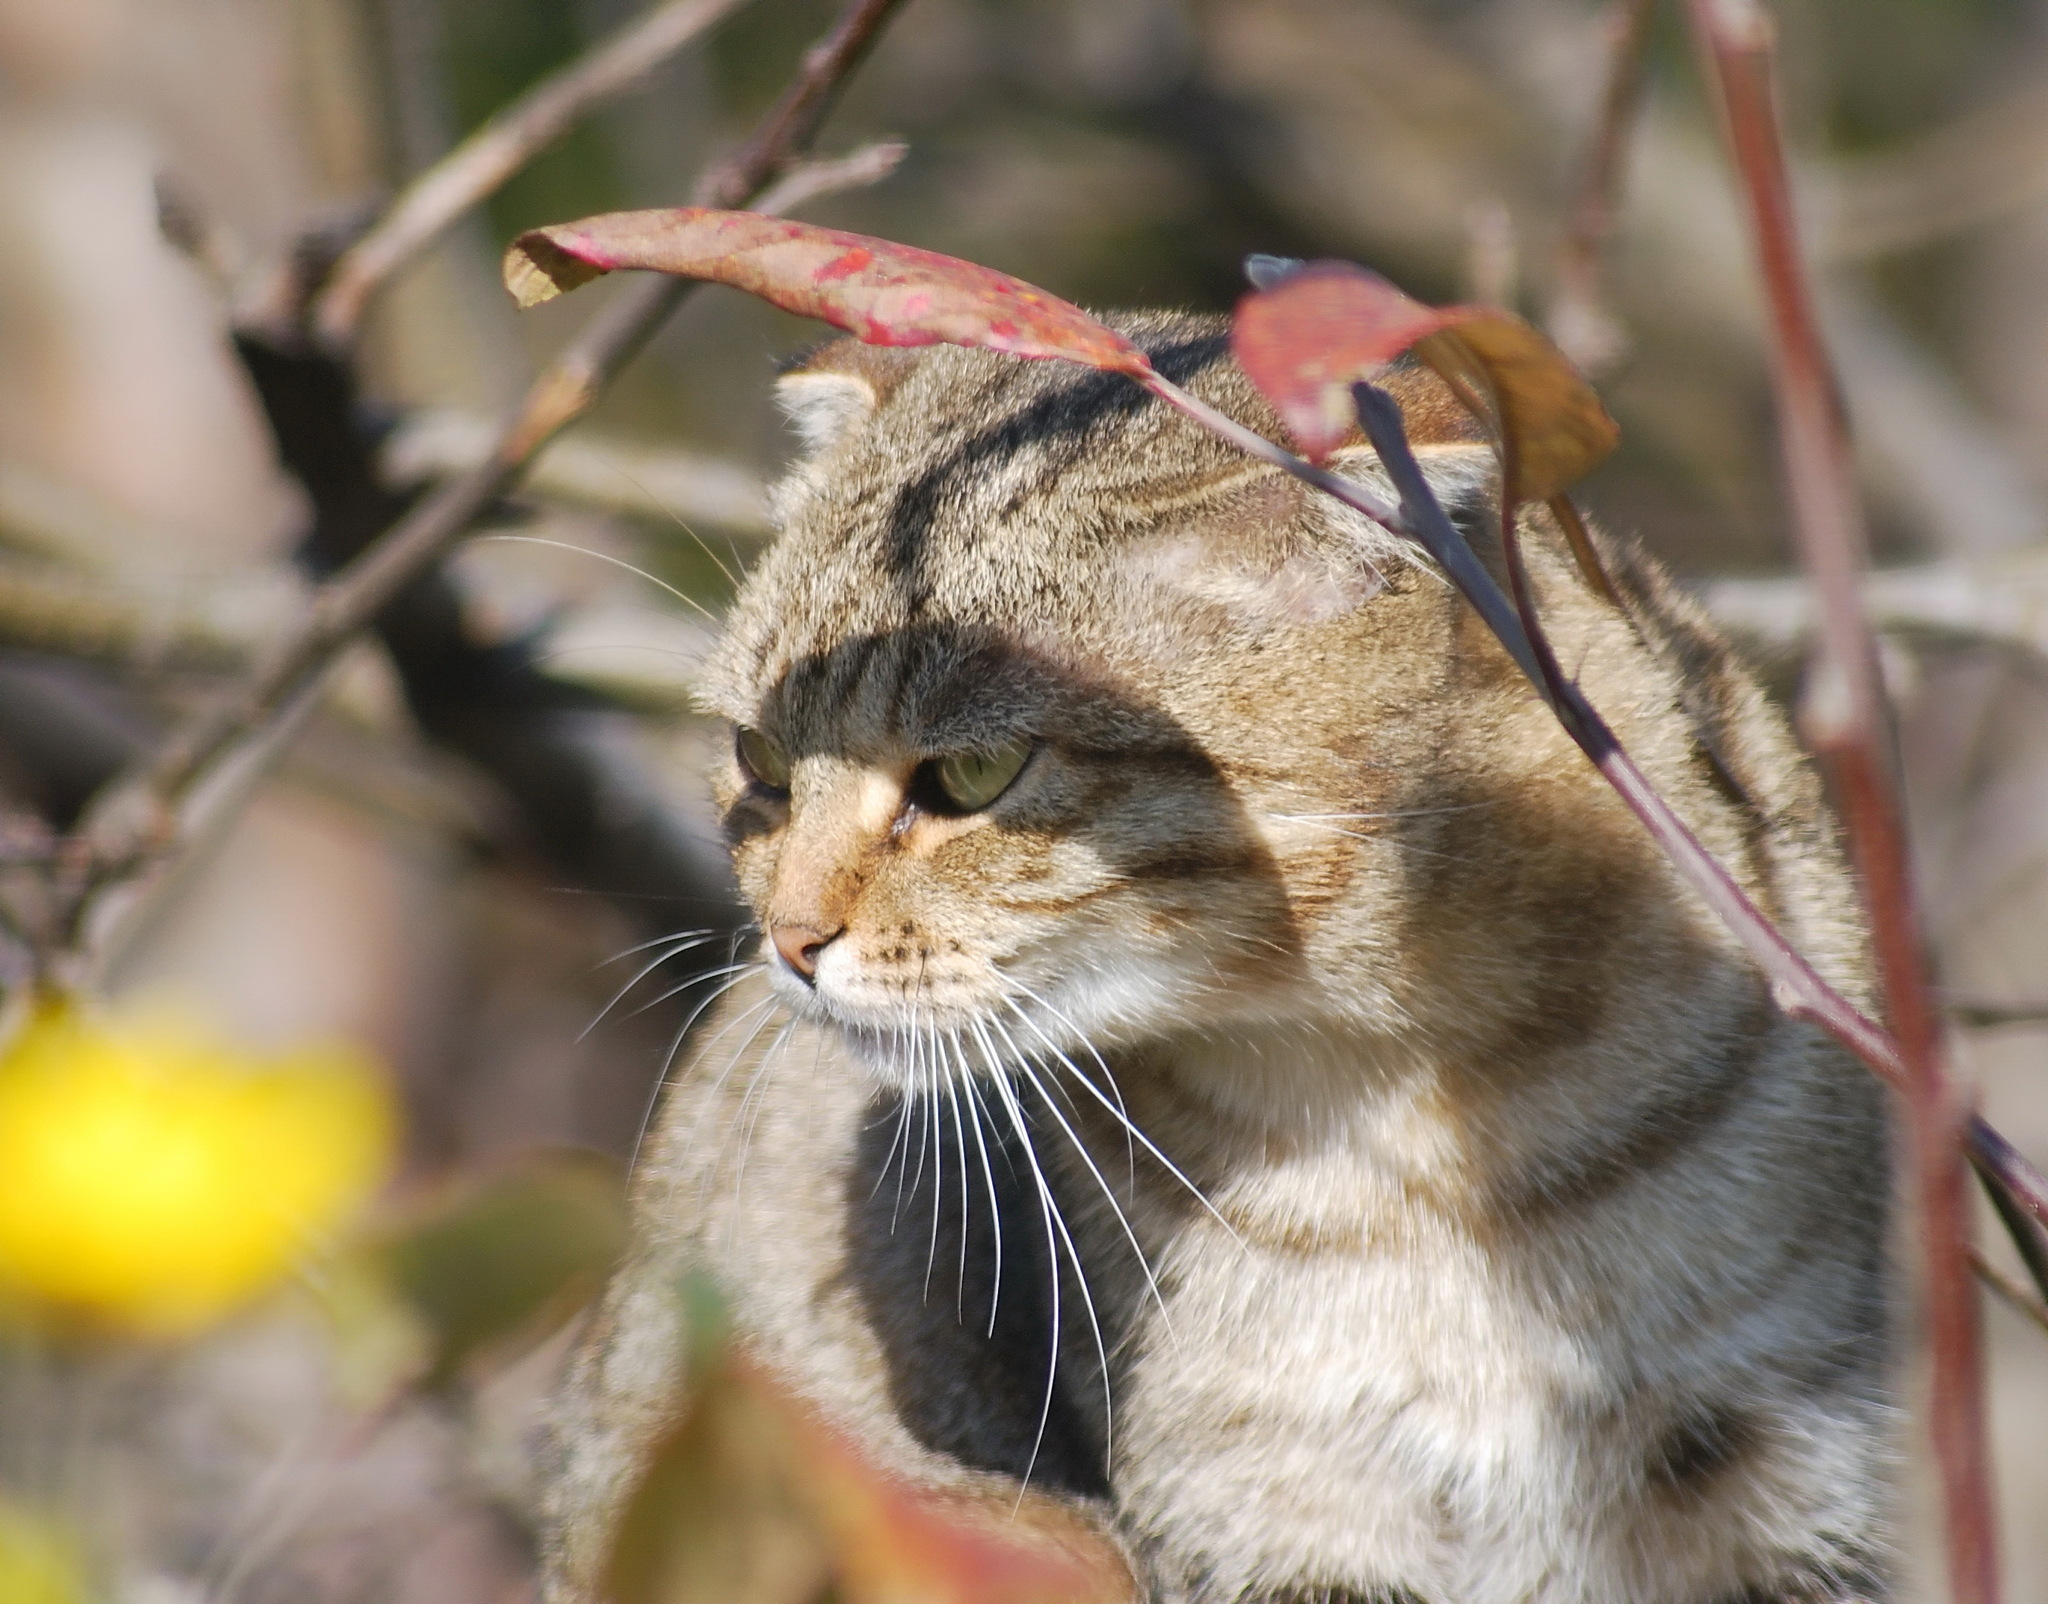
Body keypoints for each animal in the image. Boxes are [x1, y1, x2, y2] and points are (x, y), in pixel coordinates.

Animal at [540, 313, 1884, 1604]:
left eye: (970, 774)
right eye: (760, 757)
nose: (788, 938)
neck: (1424, 1119)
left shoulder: (1789, 1468)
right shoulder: (1262, 1505)